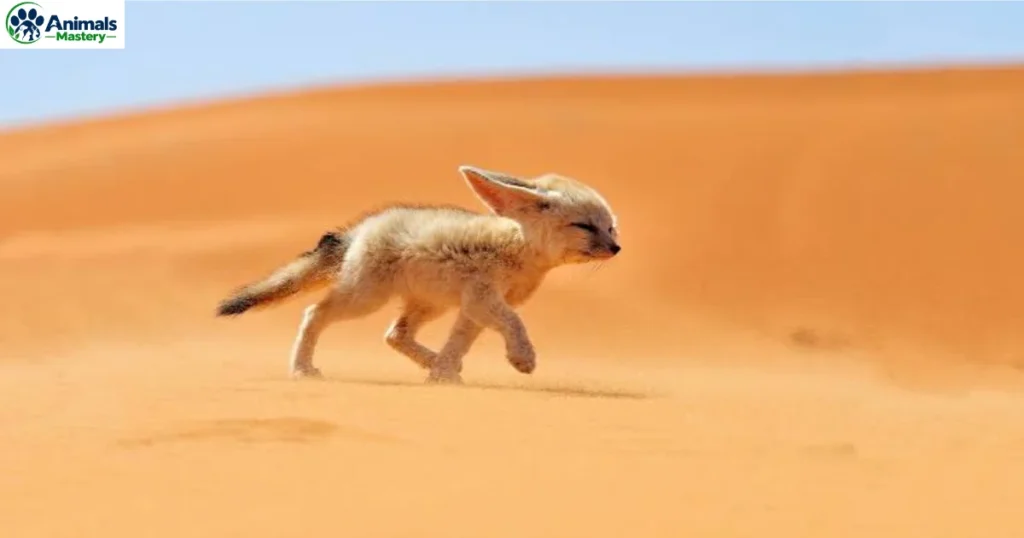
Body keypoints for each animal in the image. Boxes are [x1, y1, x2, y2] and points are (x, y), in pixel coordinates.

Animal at [215, 165, 621, 384]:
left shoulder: (473, 307)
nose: (616, 248)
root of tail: (359, 230)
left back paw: (435, 363)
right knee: (314, 313)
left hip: (428, 305)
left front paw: (442, 375)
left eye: (610, 228)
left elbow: (460, 342)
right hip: (365, 299)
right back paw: (302, 368)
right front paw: (522, 358)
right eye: (585, 226)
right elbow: (515, 323)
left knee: (395, 335)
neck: (518, 249)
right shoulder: (483, 299)